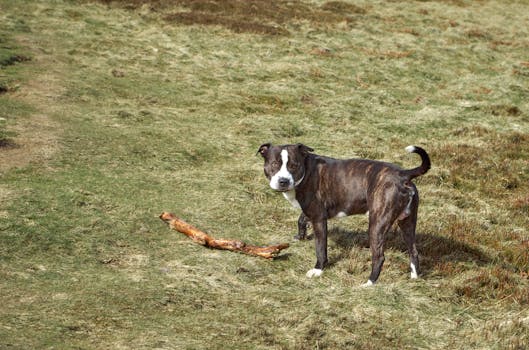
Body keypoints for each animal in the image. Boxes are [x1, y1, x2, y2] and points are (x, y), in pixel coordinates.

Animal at [258, 144, 432, 286]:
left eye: (294, 166)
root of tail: (403, 174)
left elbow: (320, 248)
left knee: (379, 257)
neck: (307, 171)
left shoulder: (319, 219)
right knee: (413, 251)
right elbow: (301, 219)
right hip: (407, 222)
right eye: (274, 164)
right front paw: (300, 237)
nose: (283, 181)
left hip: (377, 223)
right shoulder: (311, 211)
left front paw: (318, 270)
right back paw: (414, 278)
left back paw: (369, 283)